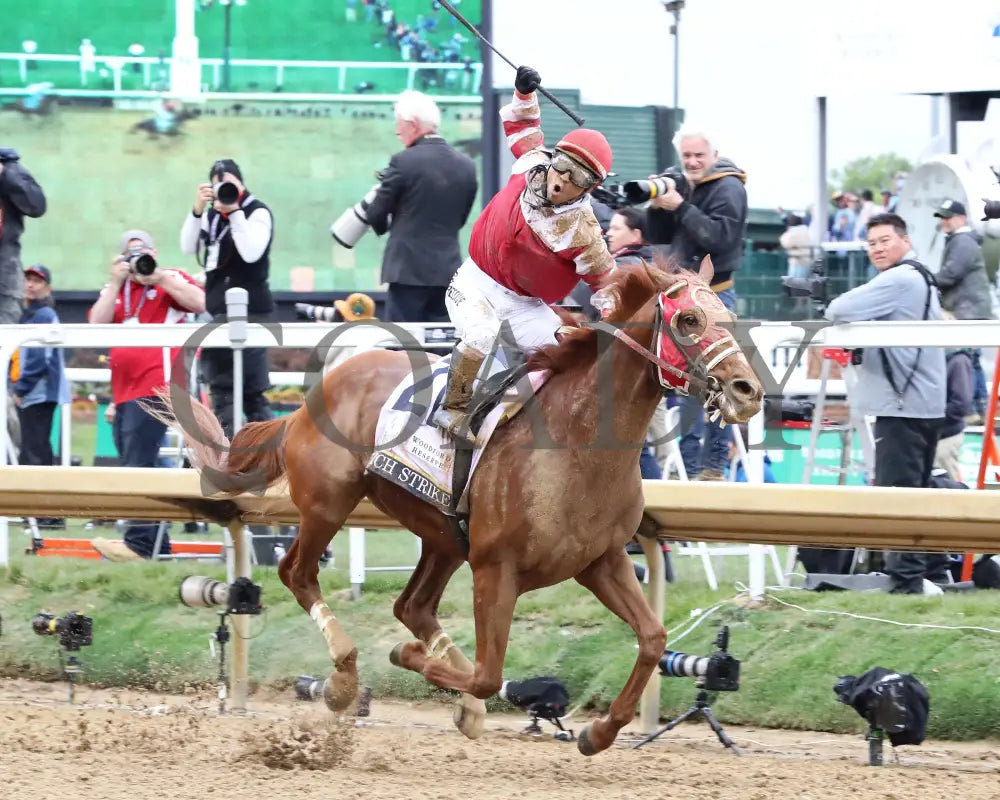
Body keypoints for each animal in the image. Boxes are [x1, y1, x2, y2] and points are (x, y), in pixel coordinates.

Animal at [166, 264, 756, 756]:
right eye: (688, 319)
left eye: (729, 317)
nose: (747, 391)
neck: (578, 442)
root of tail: (312, 397)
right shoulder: (497, 569)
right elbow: (489, 673)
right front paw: (407, 660)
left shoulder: (601, 561)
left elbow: (653, 639)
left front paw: (600, 730)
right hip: (330, 503)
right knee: (298, 572)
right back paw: (344, 679)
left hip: (443, 535)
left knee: (413, 606)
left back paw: (458, 703)